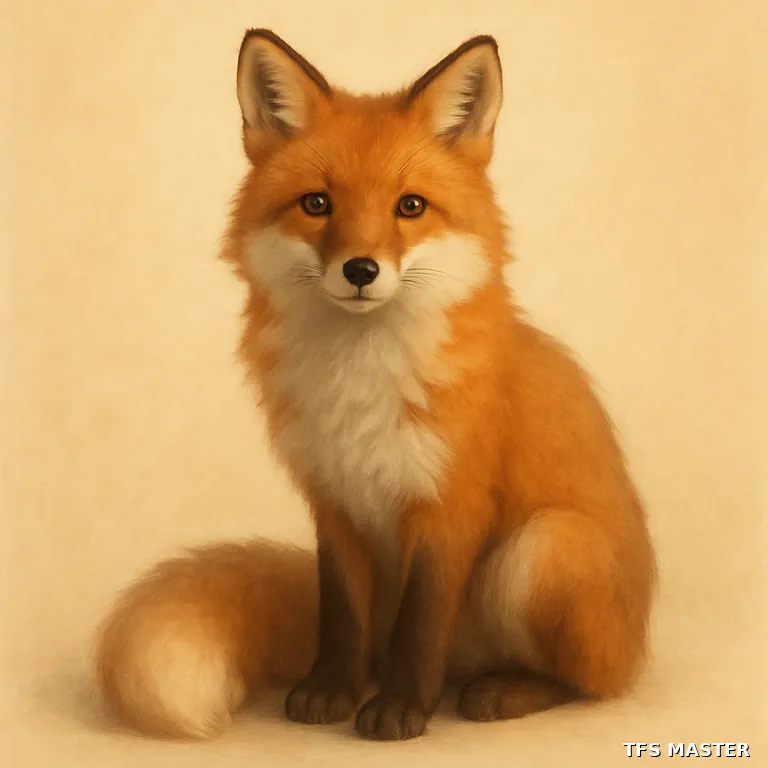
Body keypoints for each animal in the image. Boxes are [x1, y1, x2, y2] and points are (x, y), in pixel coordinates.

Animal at [96, 30, 656, 742]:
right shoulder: (334, 503)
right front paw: (331, 692)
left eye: (409, 206)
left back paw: (499, 691)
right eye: (317, 204)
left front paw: (400, 711)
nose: (360, 270)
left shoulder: (450, 505)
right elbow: (340, 617)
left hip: (547, 549)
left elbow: (421, 623)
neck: (360, 379)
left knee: (587, 685)